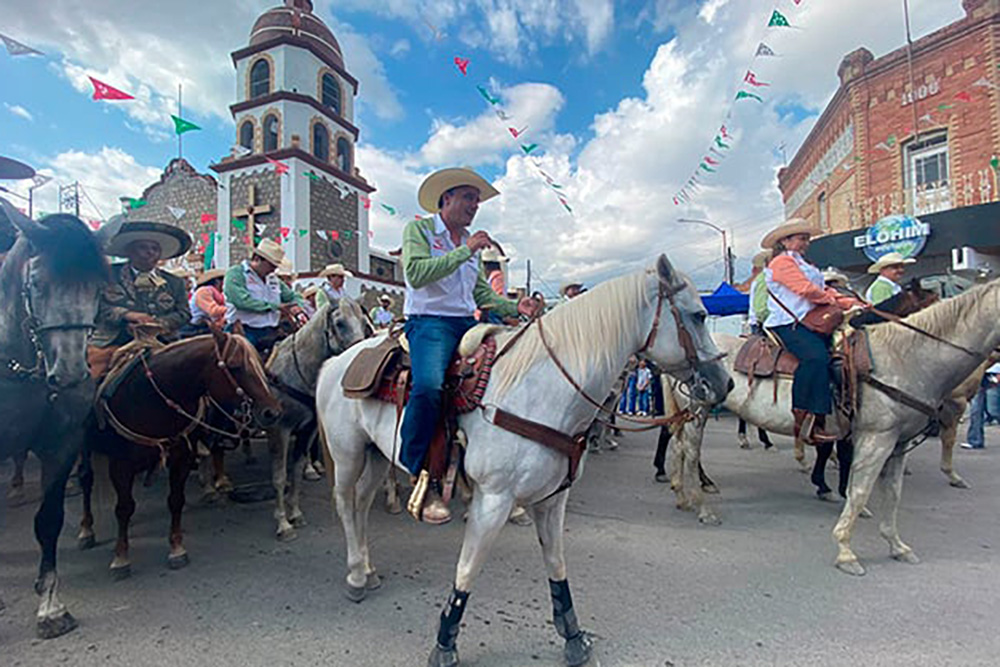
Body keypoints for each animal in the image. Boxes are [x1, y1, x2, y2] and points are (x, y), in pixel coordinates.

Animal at [76, 332, 282, 576]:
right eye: (234, 365)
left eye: (260, 363)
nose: (272, 412)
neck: (151, 398)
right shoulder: (121, 465)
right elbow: (124, 508)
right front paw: (121, 558)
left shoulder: (182, 457)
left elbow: (175, 500)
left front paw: (176, 549)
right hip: (83, 448)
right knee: (86, 480)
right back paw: (86, 530)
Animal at [316, 254, 732, 664]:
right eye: (698, 315)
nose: (724, 382)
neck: (541, 391)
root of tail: (335, 364)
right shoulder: (493, 500)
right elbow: (467, 570)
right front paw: (445, 644)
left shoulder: (552, 498)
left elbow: (556, 565)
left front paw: (573, 636)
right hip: (348, 453)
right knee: (345, 503)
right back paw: (355, 576)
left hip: (375, 455)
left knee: (362, 504)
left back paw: (367, 568)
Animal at [668, 280, 1000, 576]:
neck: (902, 357)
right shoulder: (875, 438)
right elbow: (859, 490)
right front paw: (846, 551)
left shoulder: (898, 443)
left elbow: (891, 493)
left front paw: (897, 545)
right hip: (697, 412)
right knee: (691, 453)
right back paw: (702, 506)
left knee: (680, 448)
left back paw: (683, 496)